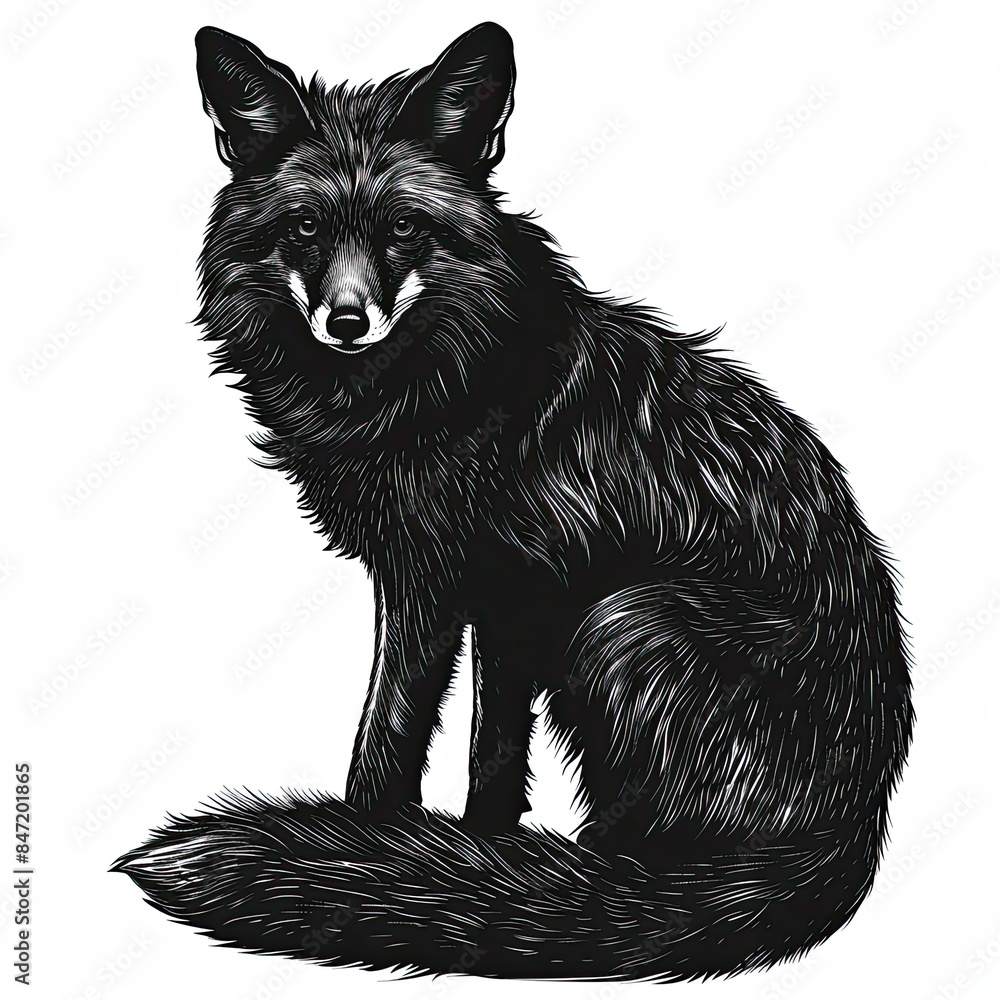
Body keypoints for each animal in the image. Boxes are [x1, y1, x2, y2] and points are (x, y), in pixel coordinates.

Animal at [113, 22, 914, 982]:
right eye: (305, 227)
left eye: (404, 227)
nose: (347, 321)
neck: (425, 389)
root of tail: (859, 823)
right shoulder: (455, 589)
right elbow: (447, 738)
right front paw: (431, 856)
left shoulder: (485, 587)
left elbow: (419, 740)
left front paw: (389, 854)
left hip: (624, 619)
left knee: (652, 861)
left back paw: (591, 892)